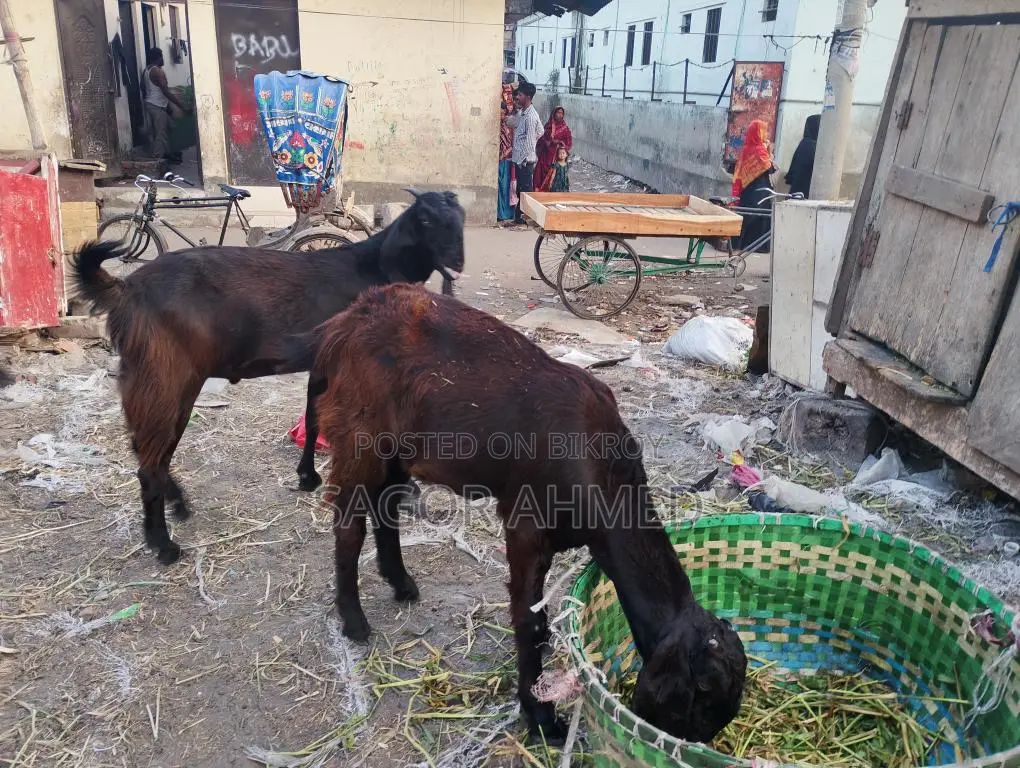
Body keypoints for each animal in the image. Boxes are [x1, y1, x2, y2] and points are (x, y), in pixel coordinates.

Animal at [70, 190, 465, 566]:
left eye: (460, 218)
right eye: (425, 219)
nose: (458, 262)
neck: (371, 268)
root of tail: (126, 291)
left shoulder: (324, 362)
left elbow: (313, 414)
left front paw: (307, 477)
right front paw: (404, 489)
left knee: (149, 449)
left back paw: (177, 506)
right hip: (167, 379)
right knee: (151, 461)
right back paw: (164, 545)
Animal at [294, 282, 747, 746]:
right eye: (702, 694)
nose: (691, 745)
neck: (603, 475)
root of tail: (346, 320)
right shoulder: (525, 527)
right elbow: (528, 620)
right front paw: (541, 716)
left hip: (398, 449)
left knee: (386, 507)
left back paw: (400, 582)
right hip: (360, 435)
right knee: (349, 523)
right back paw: (353, 619)